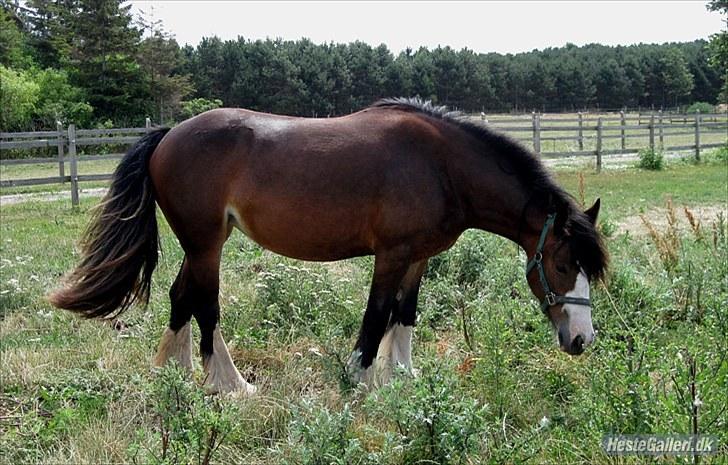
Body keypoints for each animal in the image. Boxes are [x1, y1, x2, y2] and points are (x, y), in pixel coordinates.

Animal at [49, 97, 608, 392]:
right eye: (562, 264)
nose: (582, 340)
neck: (442, 166)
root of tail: (168, 136)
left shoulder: (419, 258)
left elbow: (405, 315)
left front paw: (402, 378)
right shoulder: (392, 255)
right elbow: (376, 316)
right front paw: (357, 381)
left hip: (201, 244)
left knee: (180, 297)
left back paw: (174, 372)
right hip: (207, 244)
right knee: (206, 305)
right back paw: (229, 385)